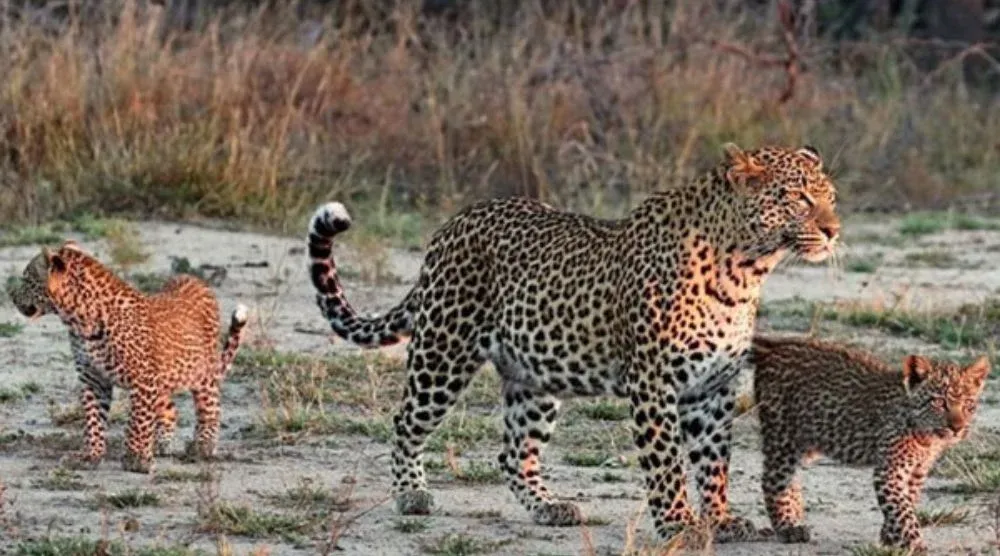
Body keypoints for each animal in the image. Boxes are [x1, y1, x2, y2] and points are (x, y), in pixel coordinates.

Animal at [7, 241, 250, 473]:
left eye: (27, 279)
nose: (12, 297)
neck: (79, 320)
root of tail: (195, 279)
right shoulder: (93, 378)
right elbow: (93, 420)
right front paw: (90, 456)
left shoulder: (142, 379)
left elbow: (138, 421)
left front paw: (136, 459)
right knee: (171, 410)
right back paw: (162, 444)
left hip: (202, 372)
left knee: (210, 406)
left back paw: (202, 446)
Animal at [306, 142, 841, 544]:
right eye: (797, 197)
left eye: (830, 196)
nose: (834, 231)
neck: (745, 271)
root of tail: (452, 224)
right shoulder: (653, 383)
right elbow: (667, 462)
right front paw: (679, 525)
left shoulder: (714, 387)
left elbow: (714, 460)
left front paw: (721, 519)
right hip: (443, 352)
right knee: (405, 421)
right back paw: (410, 495)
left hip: (535, 377)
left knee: (513, 452)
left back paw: (549, 507)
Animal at [751, 335, 991, 552]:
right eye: (939, 402)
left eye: (969, 404)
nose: (957, 428)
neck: (927, 437)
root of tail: (775, 346)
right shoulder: (890, 470)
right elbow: (902, 510)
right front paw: (914, 543)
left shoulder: (917, 471)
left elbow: (907, 501)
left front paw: (889, 537)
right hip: (783, 438)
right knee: (774, 480)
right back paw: (788, 526)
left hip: (805, 440)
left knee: (791, 479)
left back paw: (797, 517)